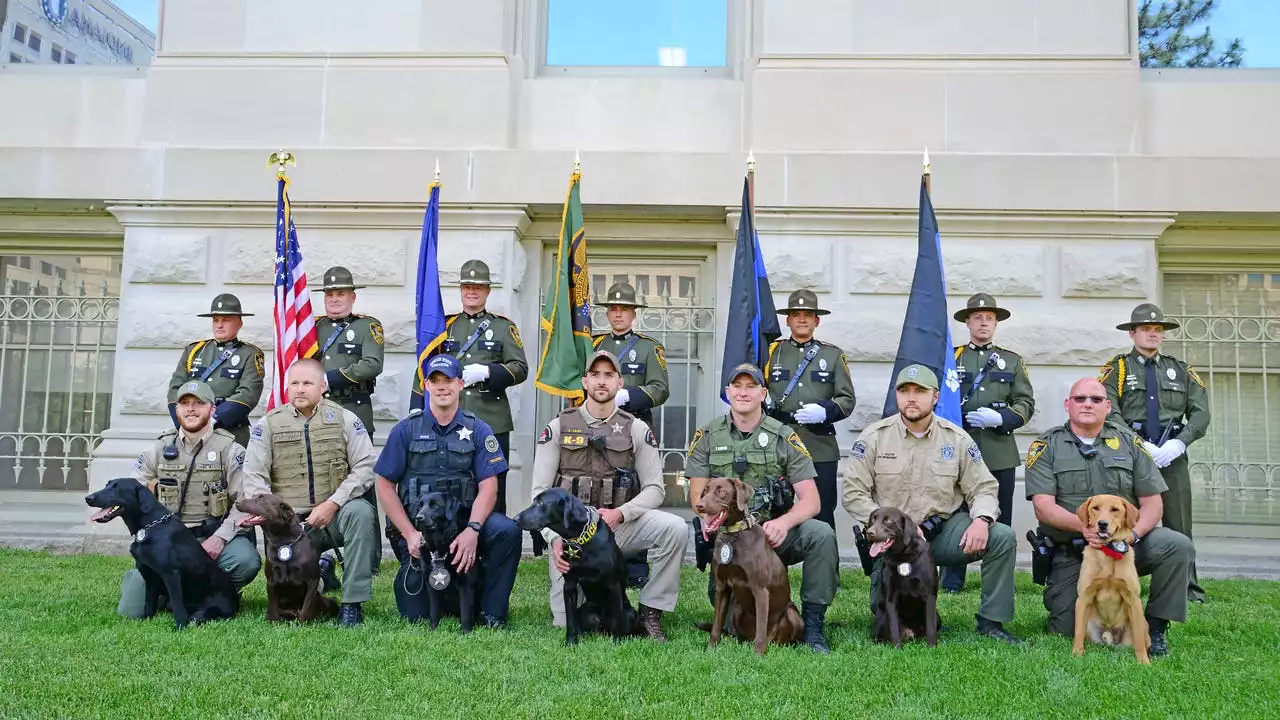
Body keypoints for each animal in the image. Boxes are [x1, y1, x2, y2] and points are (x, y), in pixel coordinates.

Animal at [87, 479, 240, 625]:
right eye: (107, 485)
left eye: (117, 487)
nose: (88, 498)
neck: (149, 526)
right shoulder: (148, 573)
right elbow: (149, 603)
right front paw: (146, 621)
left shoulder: (171, 574)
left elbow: (178, 606)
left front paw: (181, 626)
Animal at [399, 489, 481, 630]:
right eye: (420, 506)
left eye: (435, 505)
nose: (418, 518)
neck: (439, 546)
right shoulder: (431, 585)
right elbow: (434, 611)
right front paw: (432, 629)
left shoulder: (466, 584)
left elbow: (465, 613)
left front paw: (466, 632)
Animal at [512, 484, 640, 640]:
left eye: (541, 502)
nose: (514, 519)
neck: (579, 541)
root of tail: (602, 630)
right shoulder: (569, 585)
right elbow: (570, 618)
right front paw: (570, 641)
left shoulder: (613, 585)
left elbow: (617, 620)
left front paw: (616, 642)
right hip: (585, 609)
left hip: (630, 612)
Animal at [860, 504, 942, 645]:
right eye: (873, 519)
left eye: (888, 520)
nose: (869, 532)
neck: (903, 557)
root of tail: (912, 635)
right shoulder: (891, 598)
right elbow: (894, 628)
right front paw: (896, 647)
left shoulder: (930, 595)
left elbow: (931, 628)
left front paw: (932, 646)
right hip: (881, 617)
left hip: (938, 617)